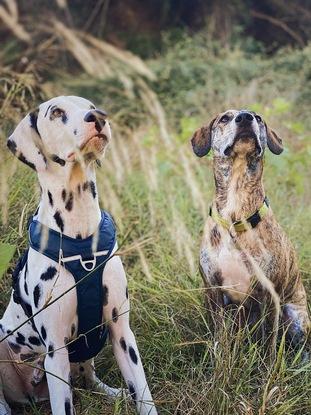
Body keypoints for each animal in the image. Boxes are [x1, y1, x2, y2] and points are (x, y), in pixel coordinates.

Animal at [1, 96, 158, 415]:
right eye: (56, 112)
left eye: (91, 106)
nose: (98, 117)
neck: (81, 235)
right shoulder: (56, 351)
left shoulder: (122, 332)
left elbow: (143, 393)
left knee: (88, 379)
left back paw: (112, 392)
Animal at [191, 109, 310, 348]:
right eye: (224, 118)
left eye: (258, 118)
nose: (246, 117)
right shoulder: (213, 290)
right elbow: (220, 337)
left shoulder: (271, 296)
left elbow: (270, 344)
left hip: (296, 317)